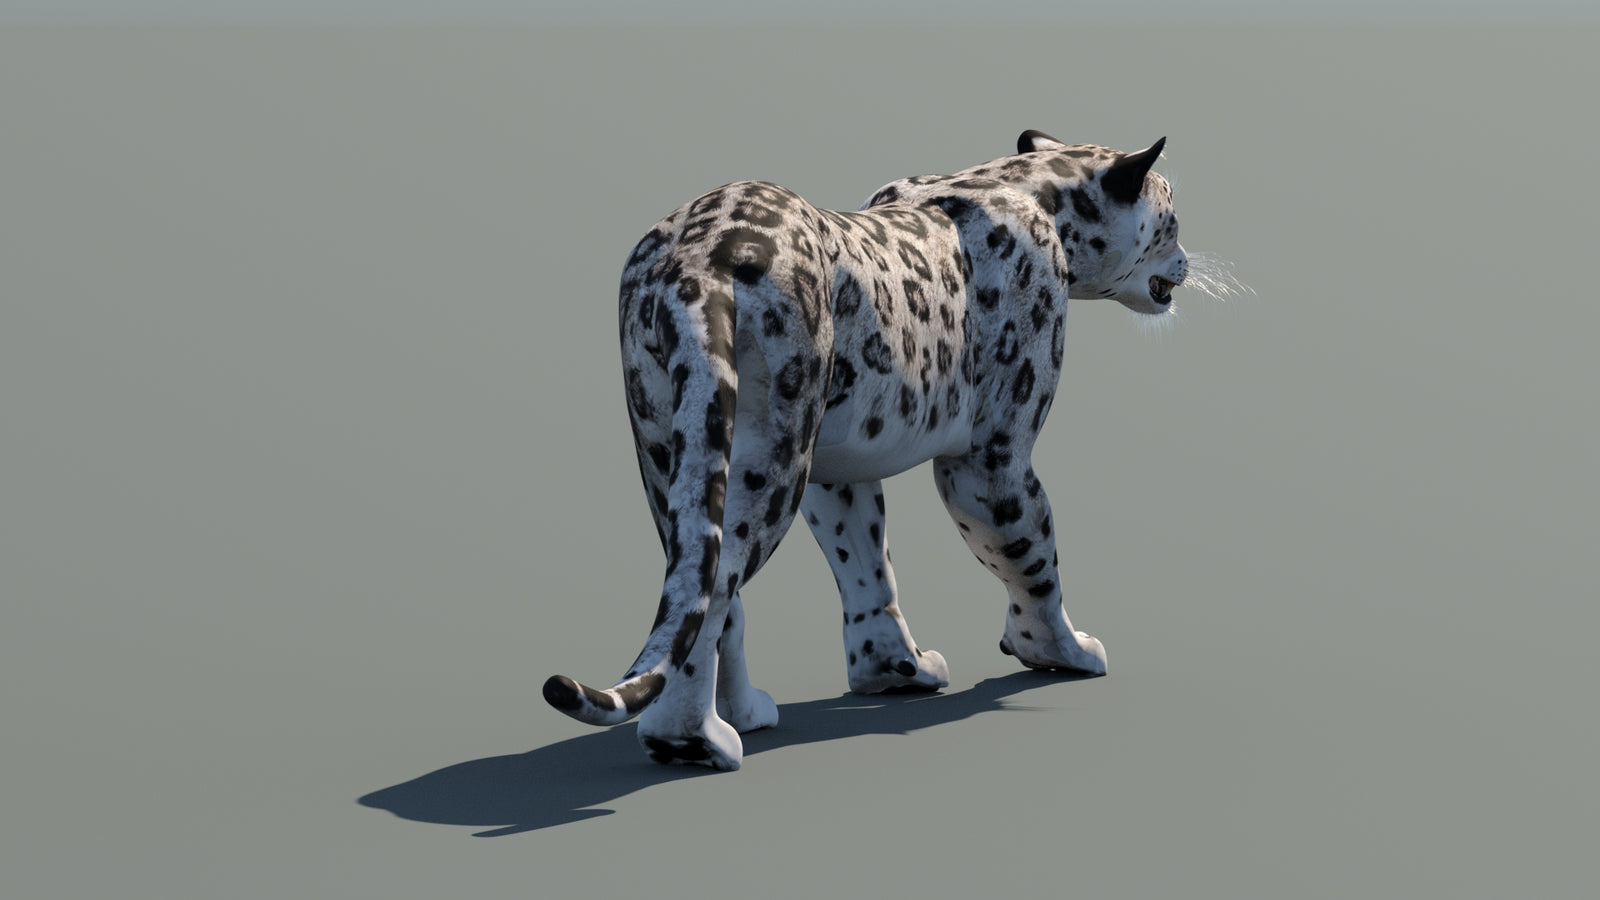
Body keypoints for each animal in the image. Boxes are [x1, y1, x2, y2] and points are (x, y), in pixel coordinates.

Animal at [543, 131, 1190, 770]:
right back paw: (691, 741)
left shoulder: (840, 462)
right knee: (719, 580)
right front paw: (1058, 649)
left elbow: (865, 558)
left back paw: (745, 713)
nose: (1186, 261)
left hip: (669, 442)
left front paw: (894, 668)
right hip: (774, 453)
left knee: (698, 582)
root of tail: (697, 263)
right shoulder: (993, 455)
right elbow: (1029, 552)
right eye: (1172, 216)